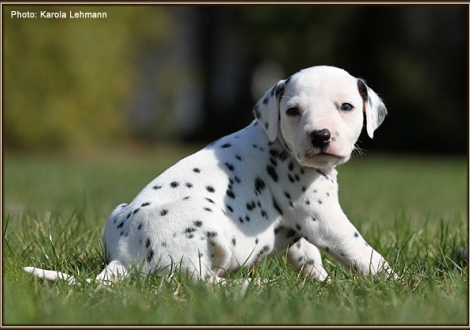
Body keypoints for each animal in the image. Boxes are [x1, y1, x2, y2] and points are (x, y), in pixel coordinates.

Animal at [24, 65, 392, 284]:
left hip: (119, 212)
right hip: (204, 221)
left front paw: (322, 283)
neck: (277, 142)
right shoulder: (323, 219)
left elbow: (307, 254)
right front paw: (396, 284)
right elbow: (362, 252)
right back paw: (252, 285)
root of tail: (122, 259)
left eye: (345, 107)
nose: (320, 136)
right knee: (204, 284)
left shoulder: (298, 229)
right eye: (293, 111)